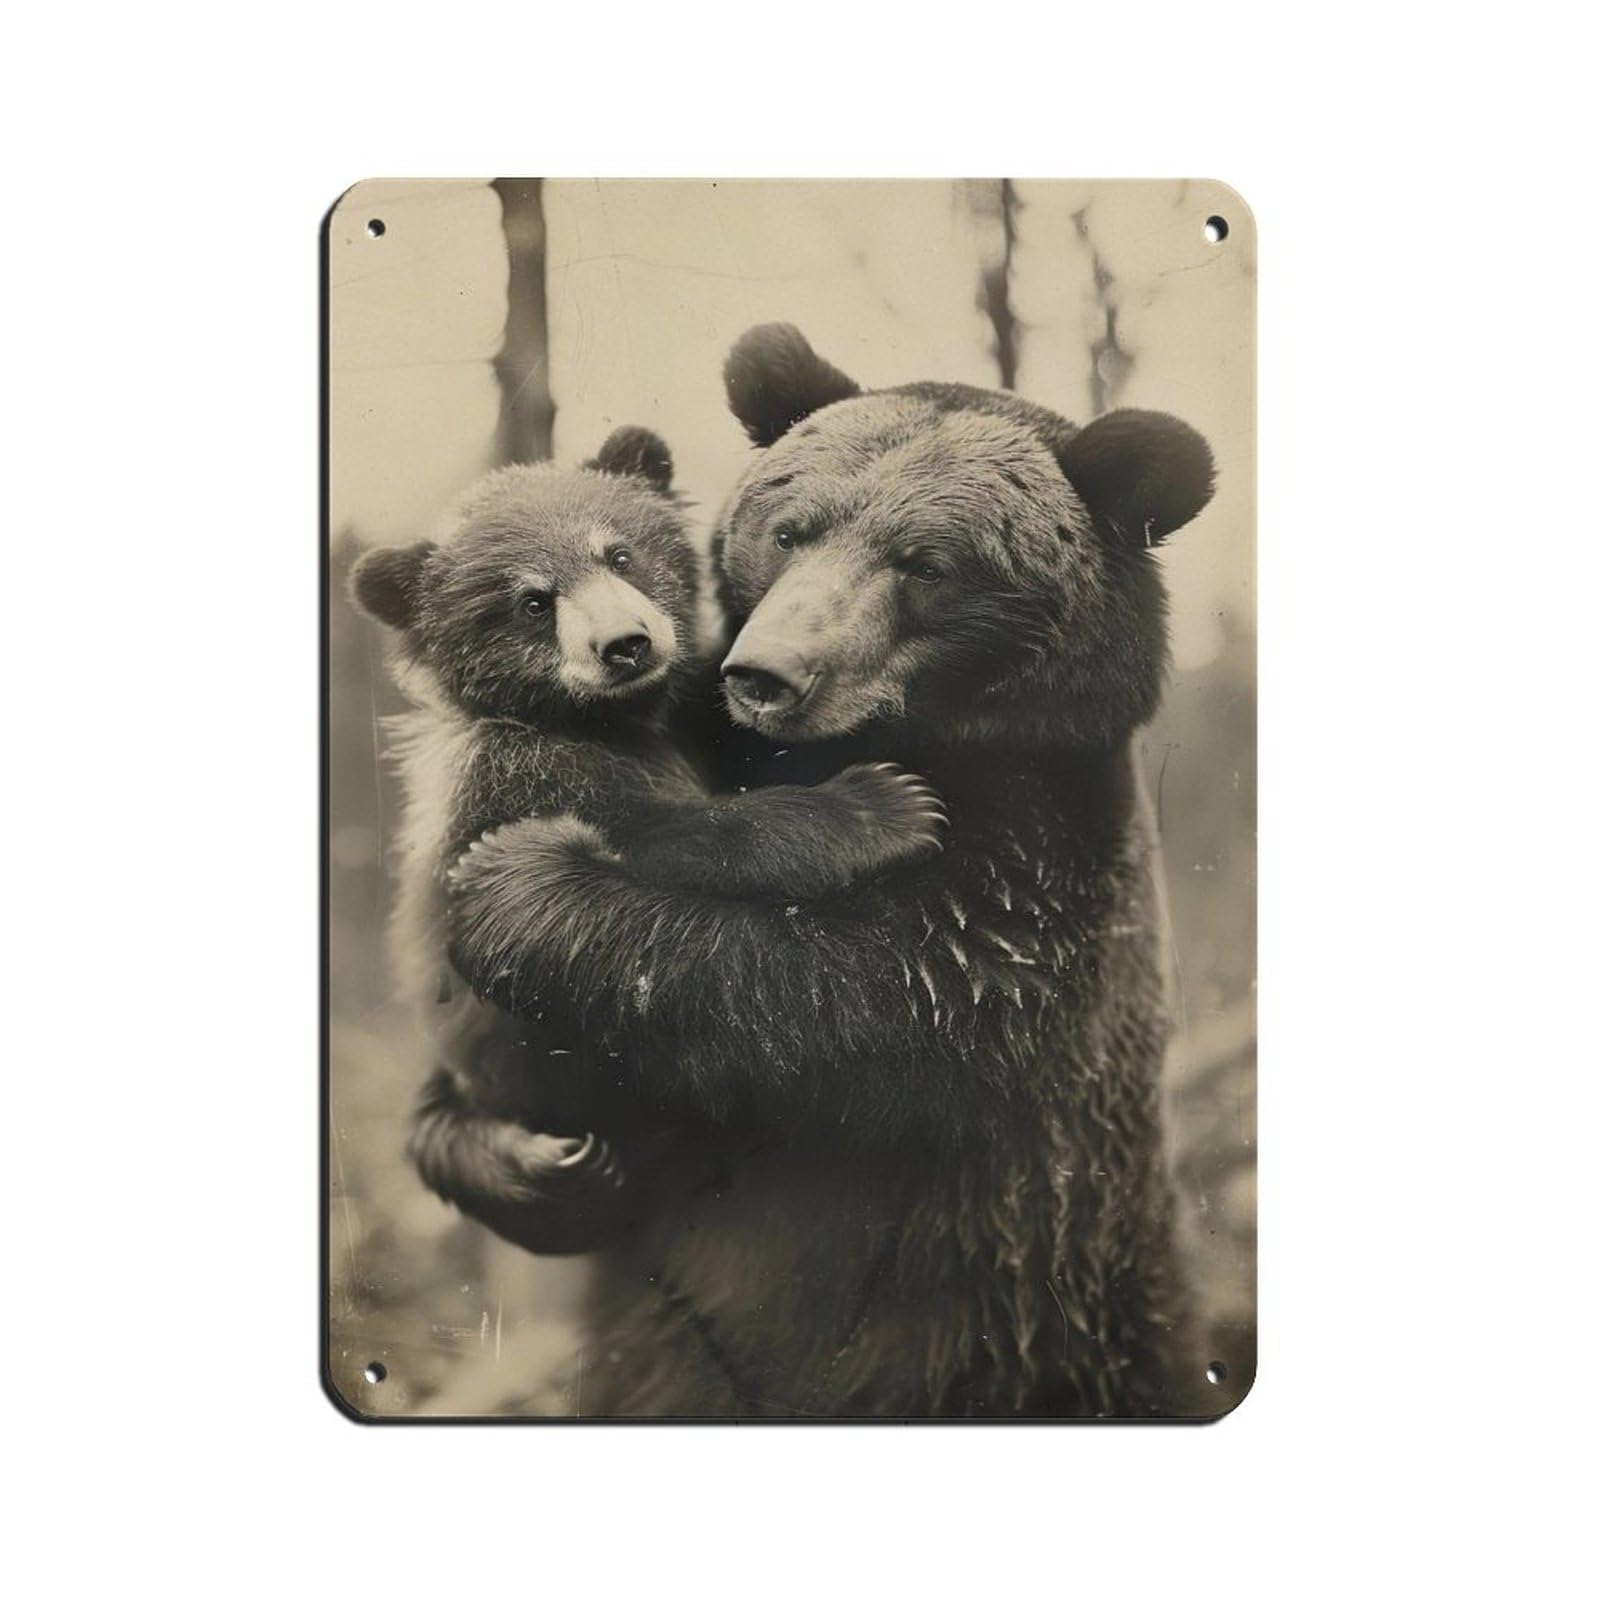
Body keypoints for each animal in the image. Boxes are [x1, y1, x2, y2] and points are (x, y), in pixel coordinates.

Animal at [348, 422, 945, 1257]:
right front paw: (887, 804)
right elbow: (661, 836)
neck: (614, 721)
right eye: (533, 601)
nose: (625, 643)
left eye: (620, 554)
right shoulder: (522, 779)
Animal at [445, 327, 1217, 1417]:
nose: (767, 674)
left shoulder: (1035, 882)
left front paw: (512, 881)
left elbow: (846, 989)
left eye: (928, 563)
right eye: (790, 528)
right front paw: (529, 1161)